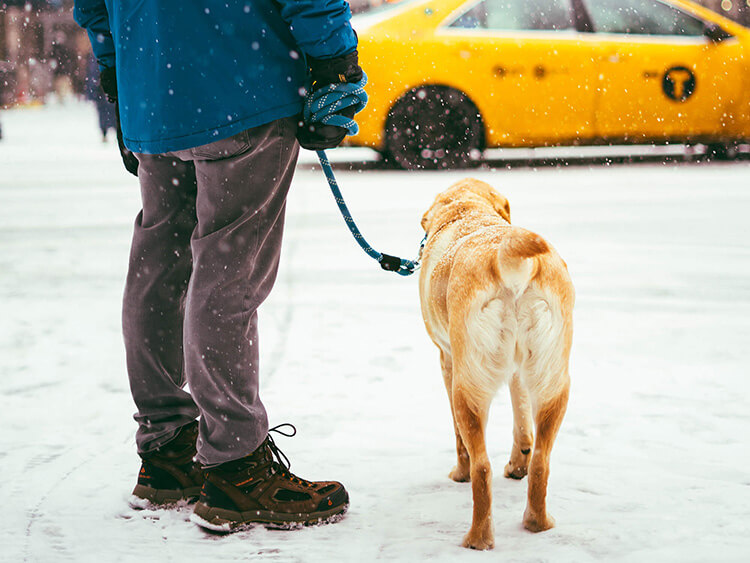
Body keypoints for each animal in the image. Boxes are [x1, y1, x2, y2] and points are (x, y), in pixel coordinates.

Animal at [418, 178, 576, 548]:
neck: (466, 213)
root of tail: (506, 253)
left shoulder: (447, 360)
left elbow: (459, 439)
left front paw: (458, 474)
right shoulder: (518, 370)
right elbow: (522, 421)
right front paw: (518, 464)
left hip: (468, 386)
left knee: (481, 466)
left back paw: (477, 538)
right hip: (553, 382)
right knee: (542, 460)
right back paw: (537, 522)